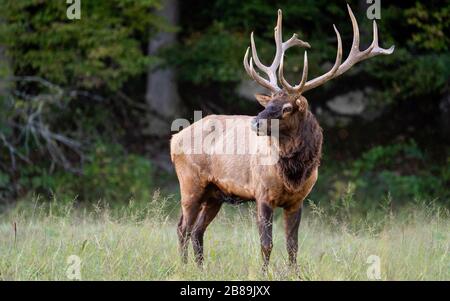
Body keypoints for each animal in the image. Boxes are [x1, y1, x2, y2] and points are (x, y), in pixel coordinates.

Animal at [170, 4, 394, 268]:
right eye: (269, 103)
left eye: (287, 108)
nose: (255, 121)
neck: (293, 175)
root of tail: (174, 139)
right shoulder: (262, 194)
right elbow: (266, 245)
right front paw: (264, 272)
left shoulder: (298, 200)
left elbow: (292, 246)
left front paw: (294, 272)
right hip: (190, 183)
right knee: (182, 227)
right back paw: (184, 267)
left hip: (215, 193)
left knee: (197, 230)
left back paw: (200, 268)